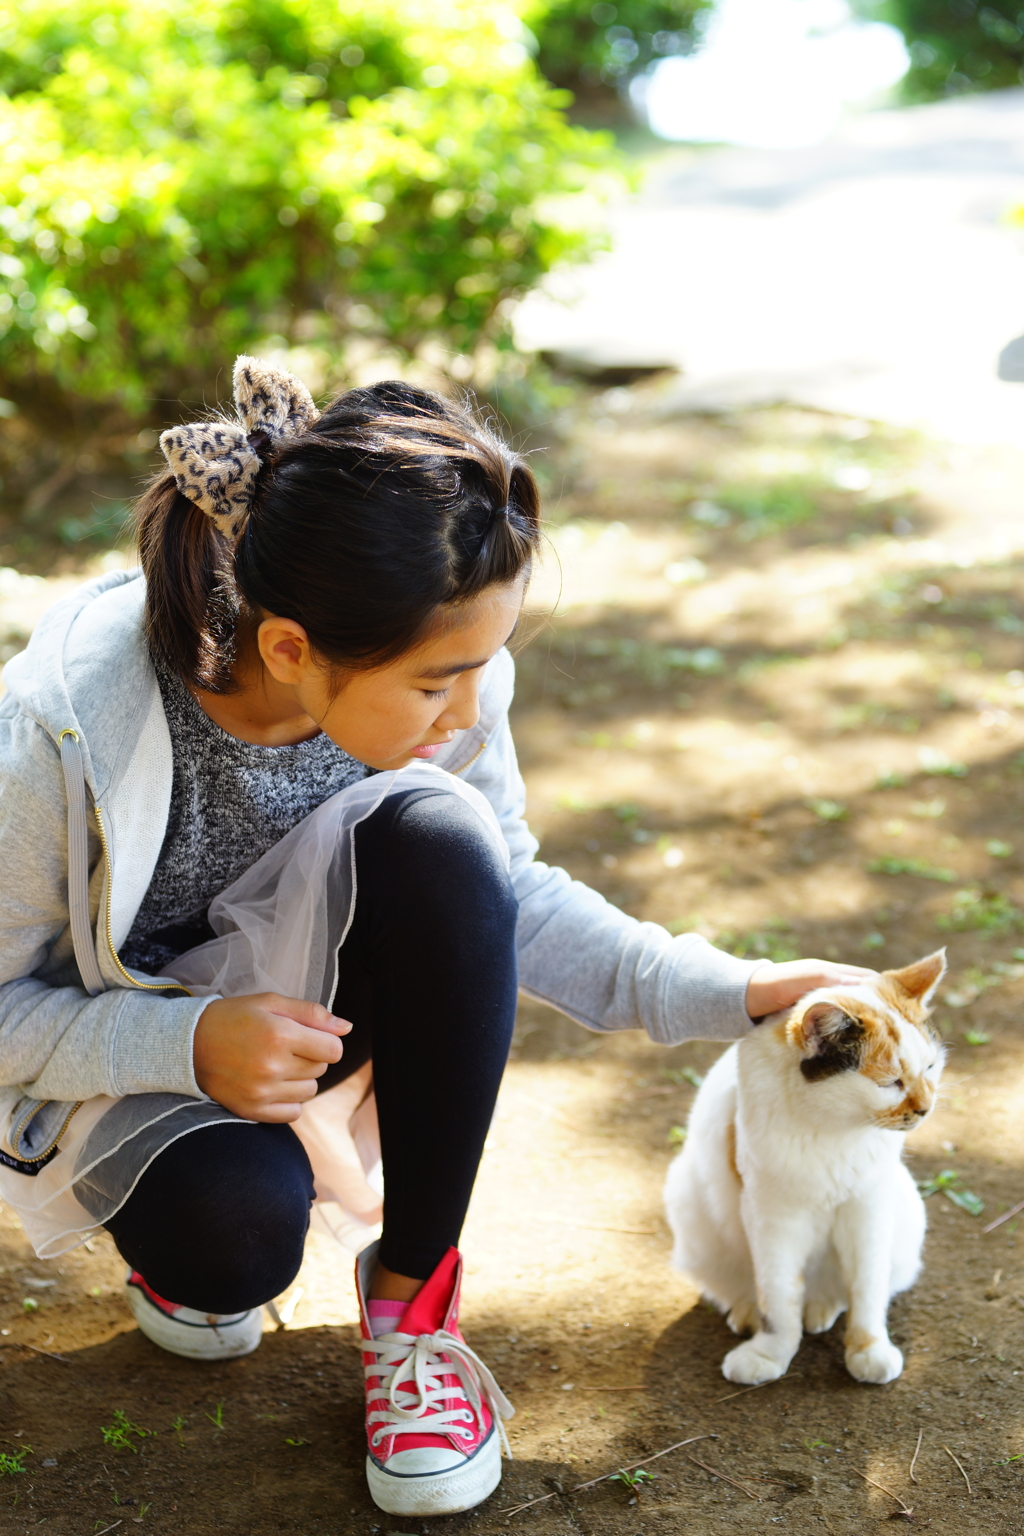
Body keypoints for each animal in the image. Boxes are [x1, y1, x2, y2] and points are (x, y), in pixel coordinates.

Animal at [669, 952, 951, 1388]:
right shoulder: (771, 1216)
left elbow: (868, 1285)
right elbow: (777, 1294)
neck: (833, 1128)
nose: (925, 1108)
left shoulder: (868, 1206)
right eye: (890, 1083)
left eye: (931, 1067)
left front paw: (868, 1349)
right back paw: (749, 1312)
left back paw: (823, 1307)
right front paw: (770, 1353)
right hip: (690, 1204)